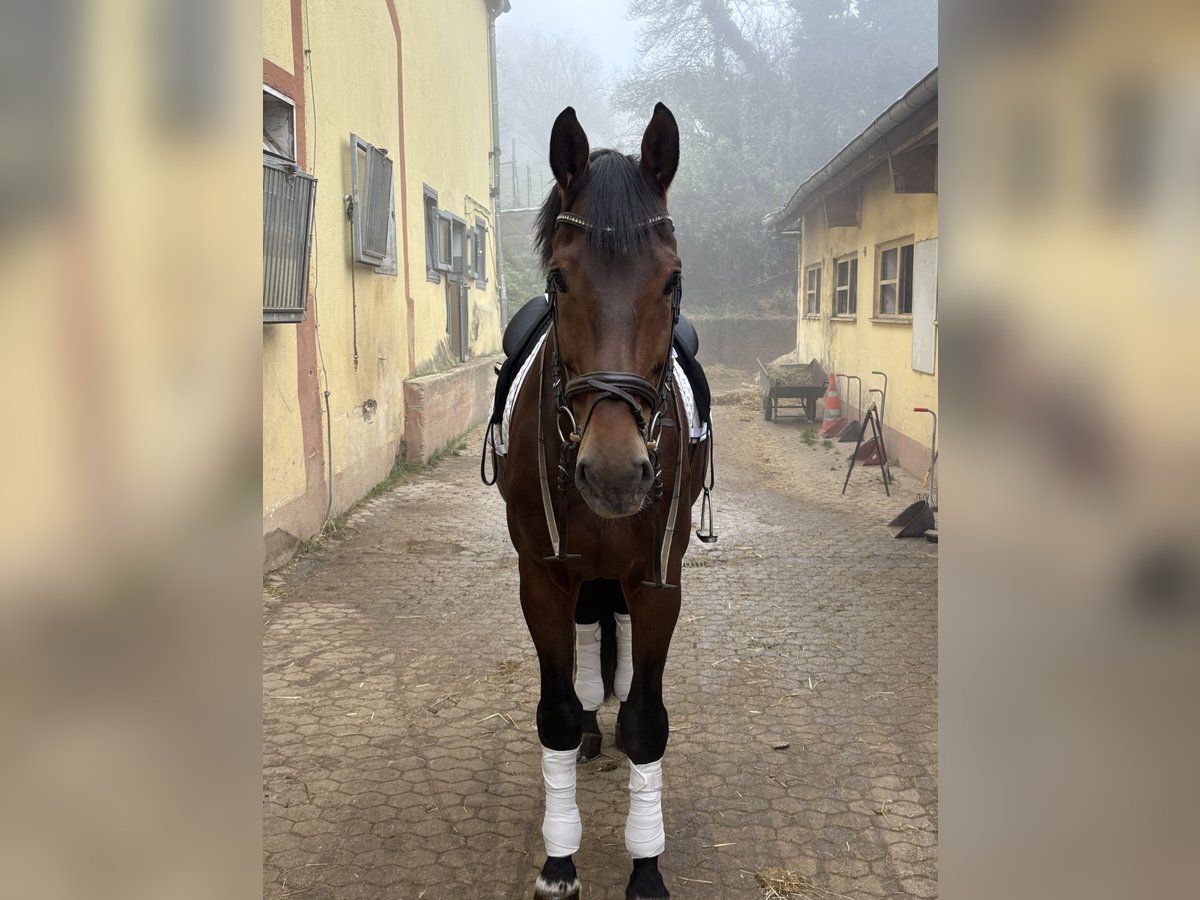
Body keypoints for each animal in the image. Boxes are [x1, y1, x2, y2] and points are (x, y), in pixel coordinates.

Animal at [483, 103, 714, 900]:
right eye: (559, 278)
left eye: (673, 281)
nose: (615, 474)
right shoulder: (543, 578)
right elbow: (552, 713)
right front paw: (559, 860)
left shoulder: (657, 581)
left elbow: (646, 720)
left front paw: (646, 867)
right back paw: (589, 724)